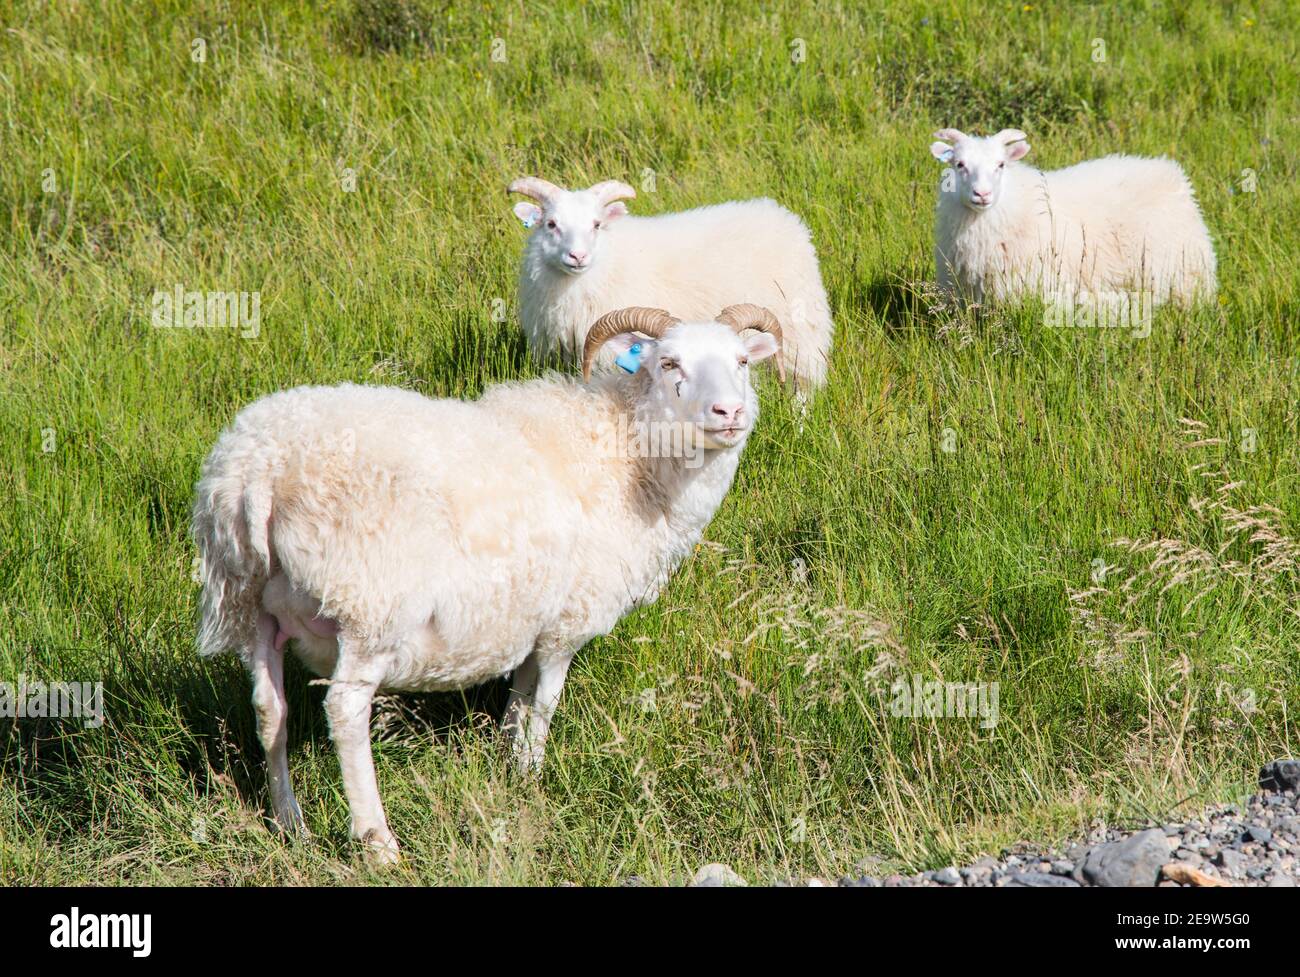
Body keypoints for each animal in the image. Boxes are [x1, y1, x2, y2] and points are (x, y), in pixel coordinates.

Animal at [191, 301, 780, 857]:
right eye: (669, 362)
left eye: (742, 361)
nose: (729, 411)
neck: (627, 453)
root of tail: (259, 468)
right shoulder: (569, 620)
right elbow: (545, 703)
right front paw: (534, 775)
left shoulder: (533, 616)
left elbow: (520, 696)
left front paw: (509, 765)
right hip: (371, 608)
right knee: (344, 711)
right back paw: (378, 842)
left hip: (249, 602)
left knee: (270, 708)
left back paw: (289, 822)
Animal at [506, 177, 832, 392]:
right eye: (551, 224)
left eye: (597, 225)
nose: (578, 256)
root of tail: (782, 215)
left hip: (798, 330)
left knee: (802, 387)